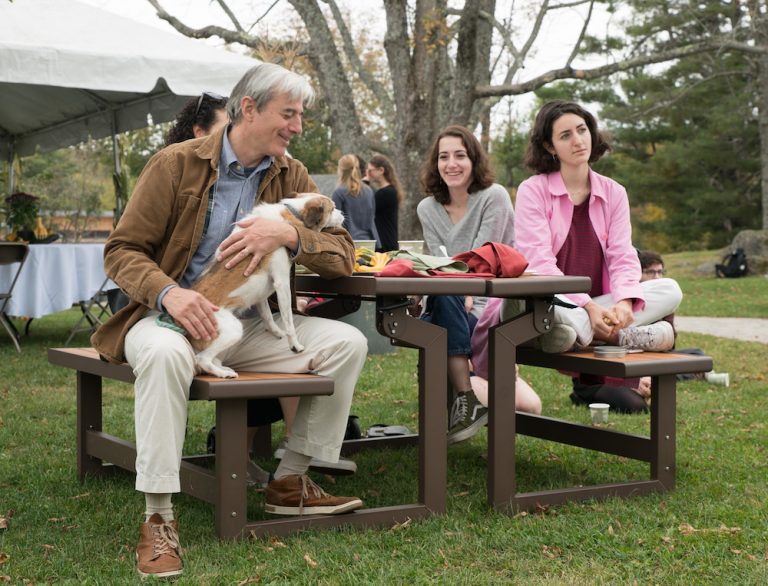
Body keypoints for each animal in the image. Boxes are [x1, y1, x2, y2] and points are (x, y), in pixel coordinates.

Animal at [192, 194, 344, 376]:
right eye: (332, 209)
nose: (343, 214)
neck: (292, 212)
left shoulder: (261, 295)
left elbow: (267, 316)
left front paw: (277, 332)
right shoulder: (282, 283)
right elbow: (289, 322)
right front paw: (295, 345)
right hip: (232, 329)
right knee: (202, 359)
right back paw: (223, 373)